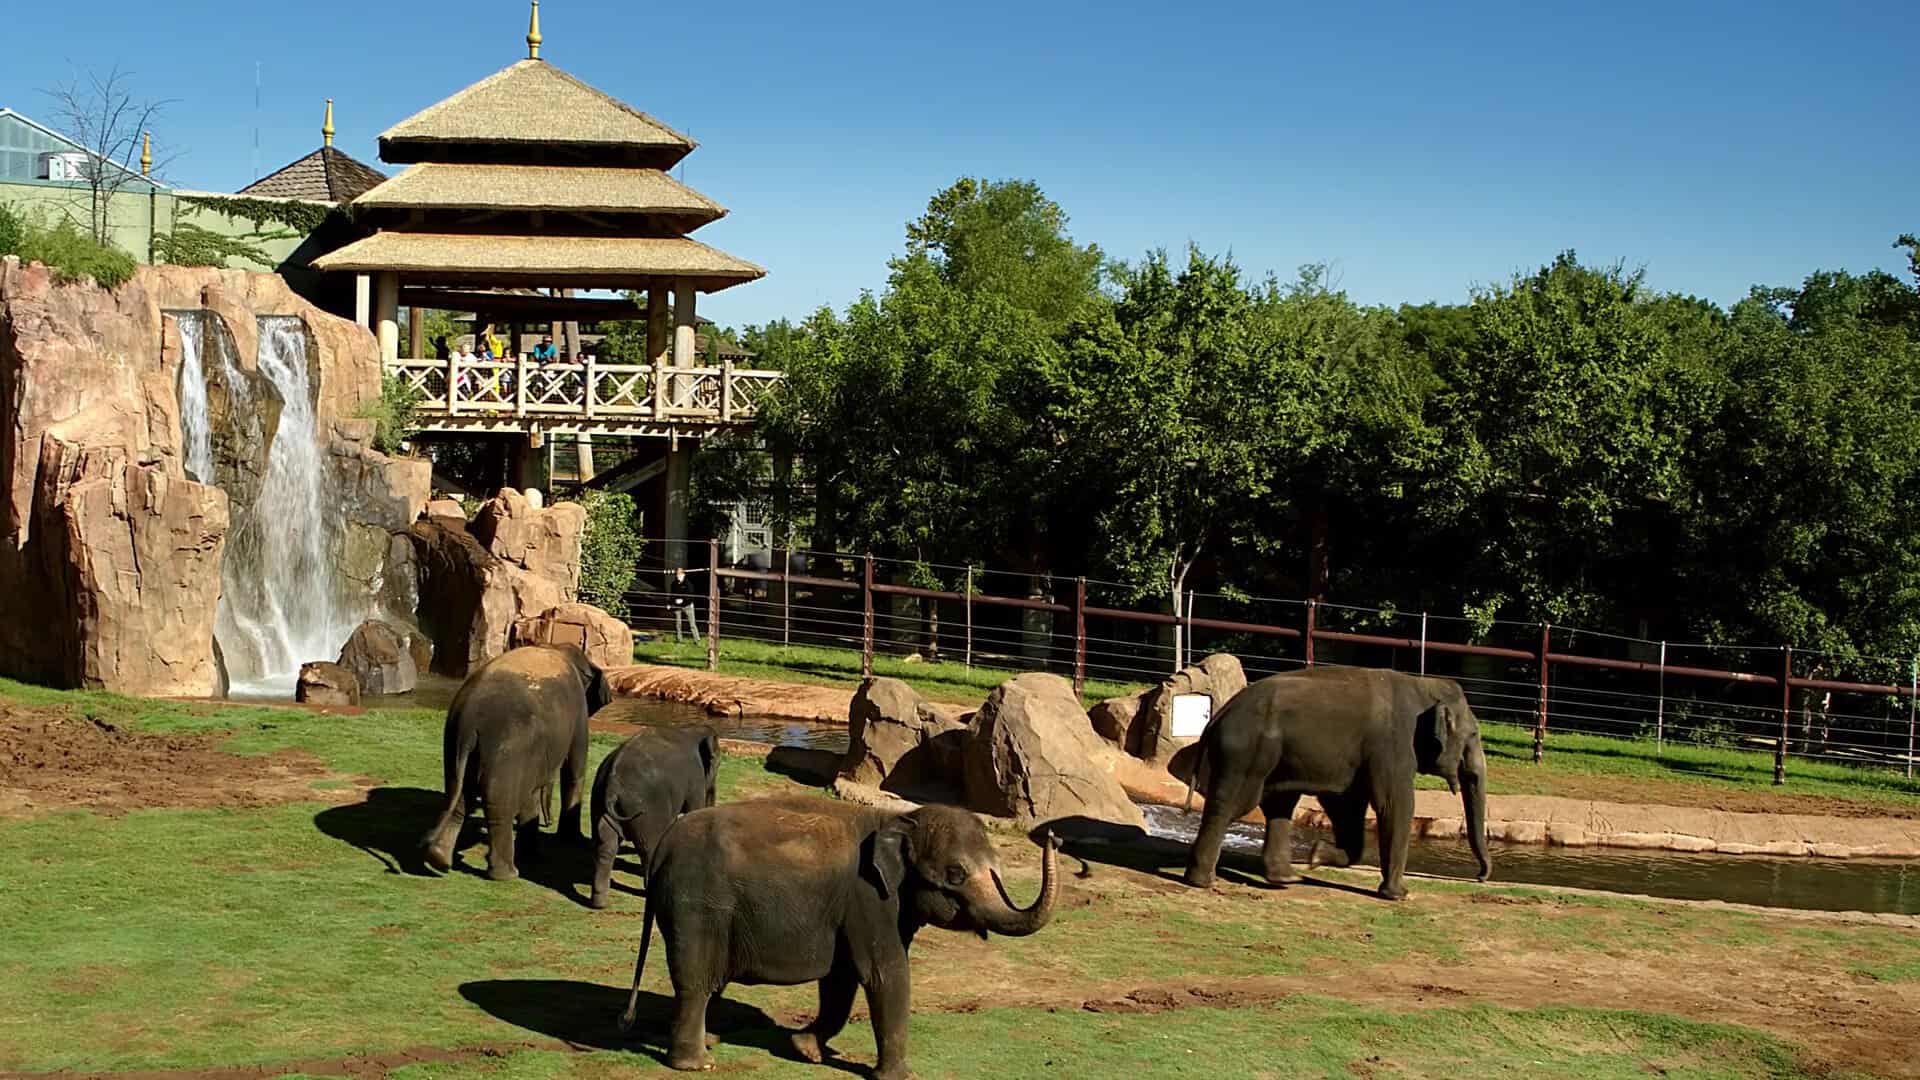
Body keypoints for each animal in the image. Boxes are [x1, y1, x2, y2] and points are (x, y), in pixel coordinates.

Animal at [420, 644, 614, 880]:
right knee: (499, 804)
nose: (548, 822)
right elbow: (574, 768)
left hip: (455, 742)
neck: (557, 647)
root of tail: (470, 719)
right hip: (509, 750)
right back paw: (507, 874)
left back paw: (438, 860)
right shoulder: (578, 711)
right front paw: (570, 841)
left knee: (458, 795)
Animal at [588, 726, 720, 910]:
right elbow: (694, 809)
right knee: (649, 848)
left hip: (598, 803)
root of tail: (612, 786)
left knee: (605, 846)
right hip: (646, 811)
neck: (691, 729)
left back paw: (599, 904)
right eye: (719, 763)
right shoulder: (696, 779)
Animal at [618, 796, 1060, 1078]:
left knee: (710, 980)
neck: (899, 818)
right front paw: (900, 1077)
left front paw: (806, 1049)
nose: (1053, 837)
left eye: (996, 866)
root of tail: (661, 850)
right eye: (956, 874)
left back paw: (711, 1040)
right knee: (695, 979)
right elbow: (885, 974)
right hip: (697, 904)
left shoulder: (857, 911)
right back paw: (697, 1063)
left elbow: (842, 980)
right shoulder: (870, 898)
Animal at [1176, 666, 1491, 899]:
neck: (1423, 685)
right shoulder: (1392, 746)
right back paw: (1203, 882)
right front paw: (1399, 895)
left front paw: (1316, 855)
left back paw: (1286, 878)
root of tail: (1218, 716)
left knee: (1278, 805)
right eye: (1473, 736)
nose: (1480, 877)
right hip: (1247, 752)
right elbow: (1393, 804)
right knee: (1235, 804)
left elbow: (1346, 805)